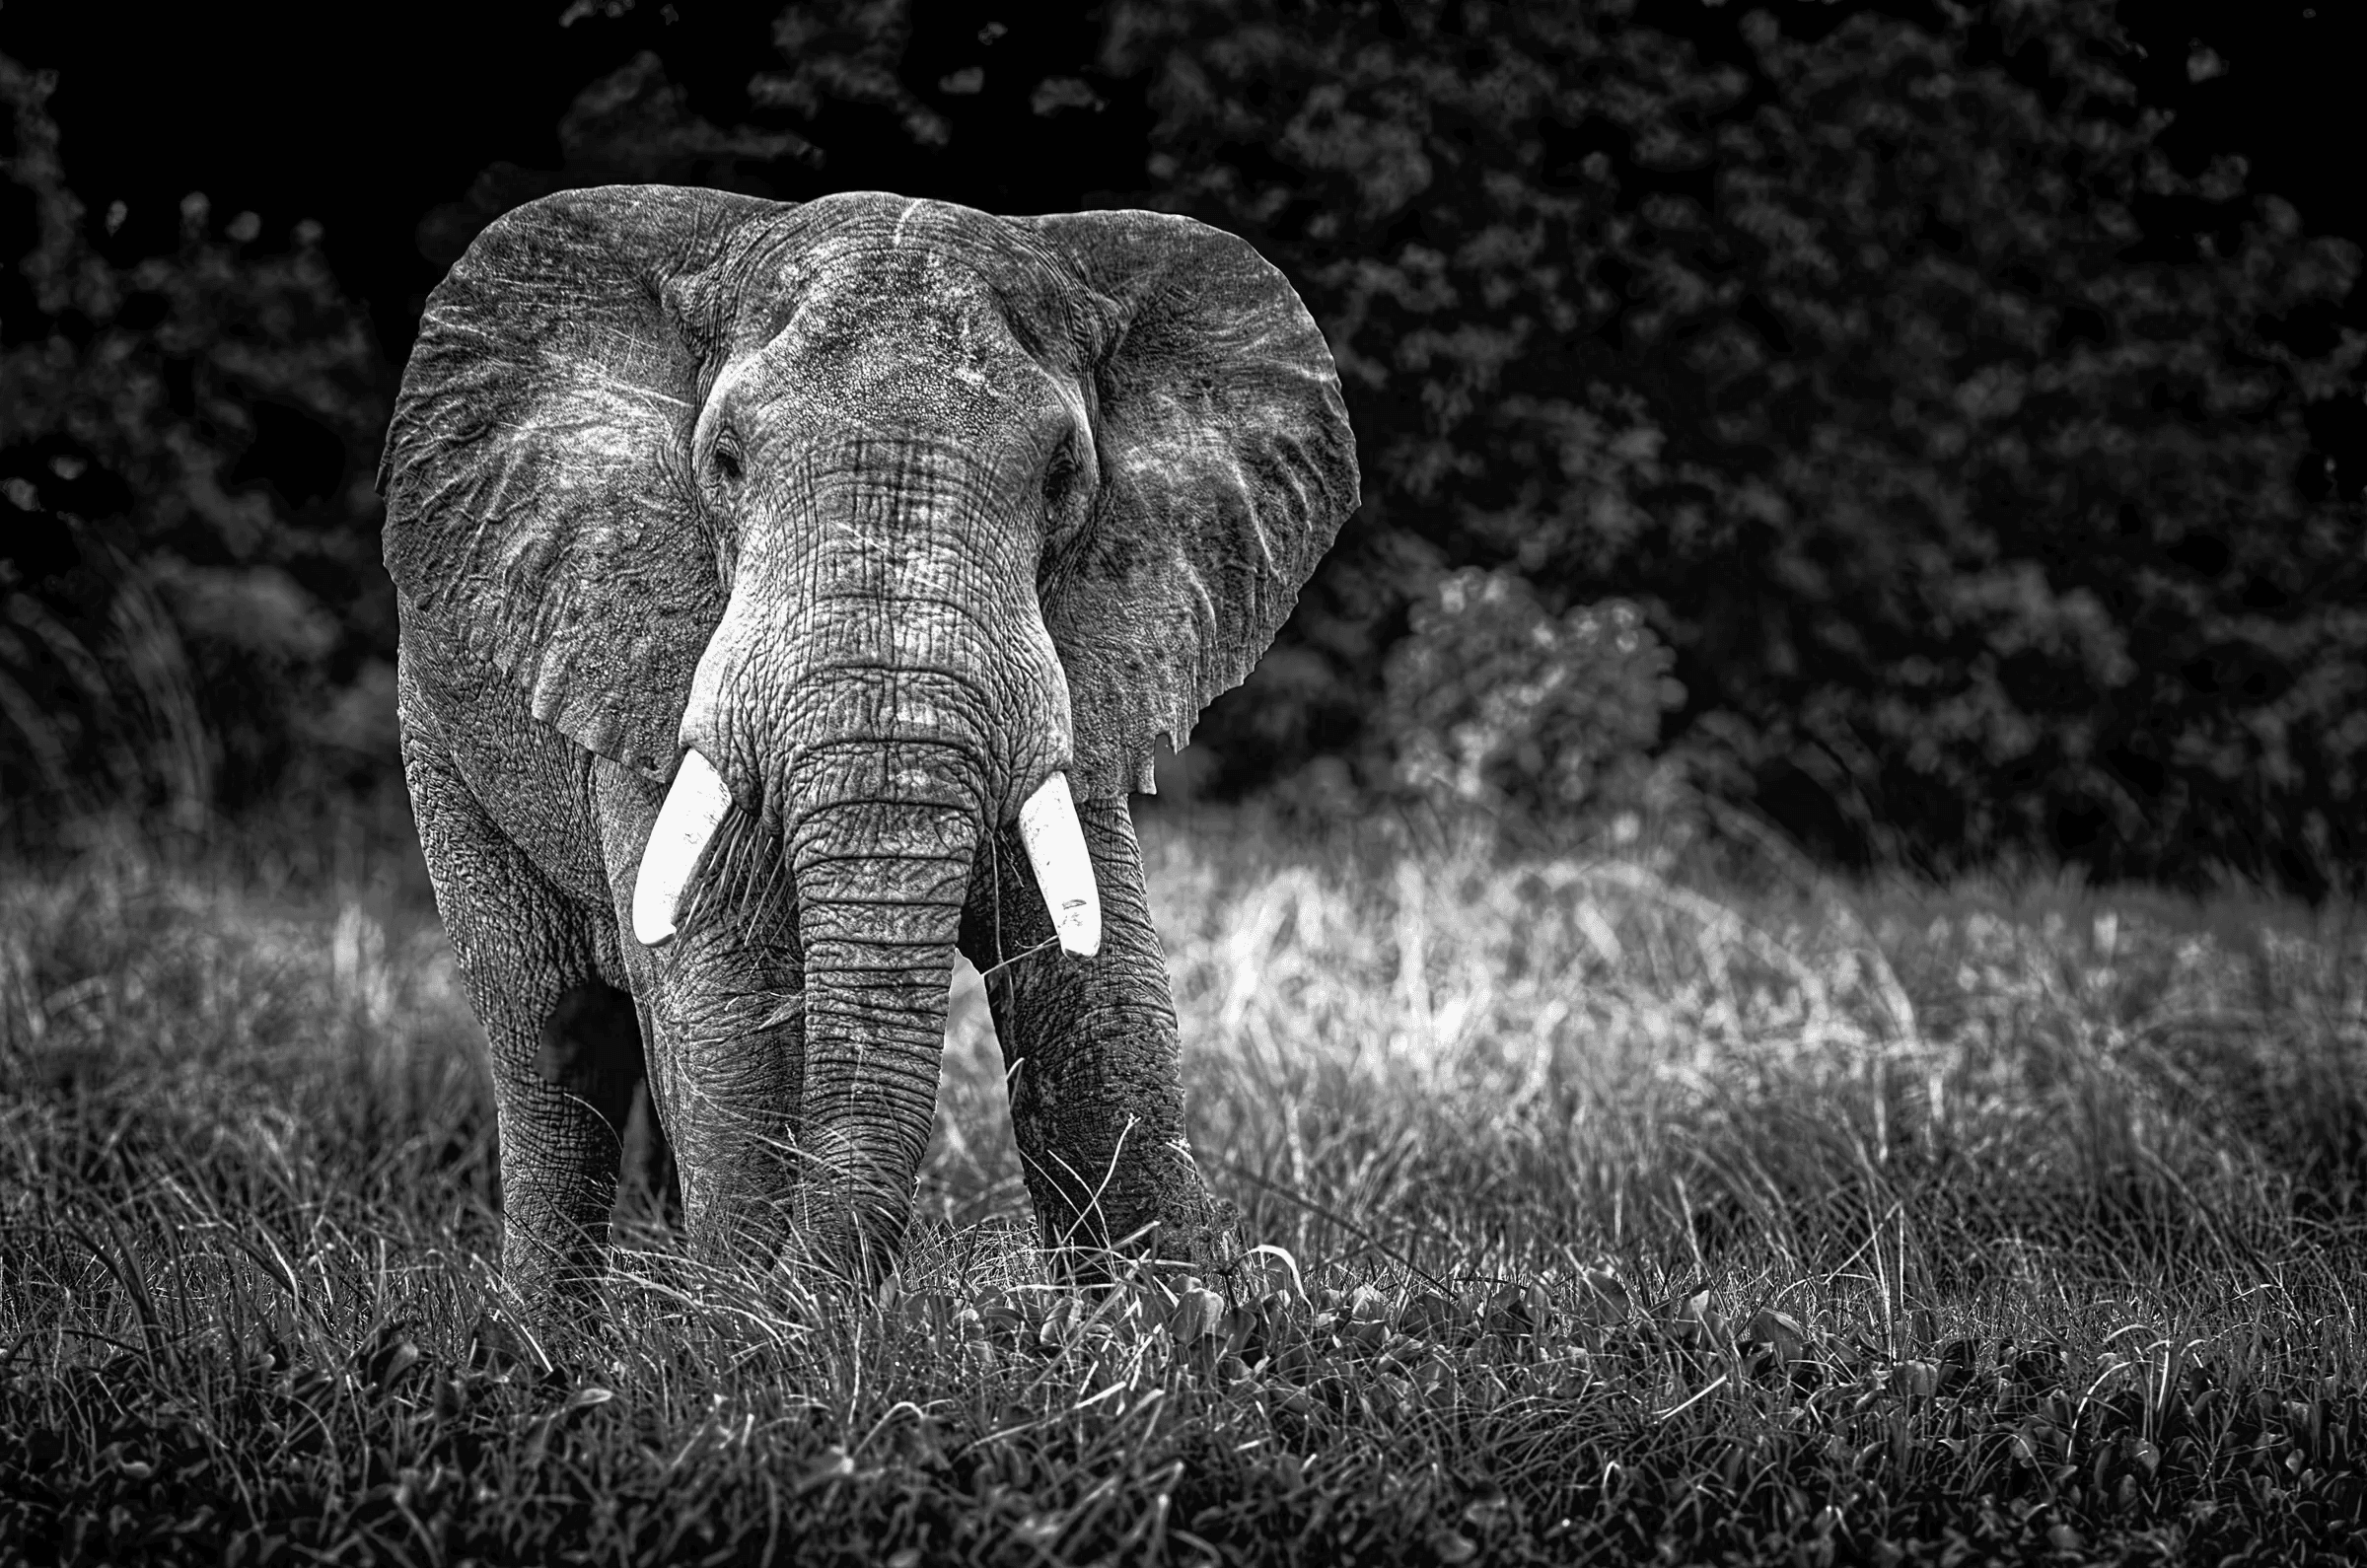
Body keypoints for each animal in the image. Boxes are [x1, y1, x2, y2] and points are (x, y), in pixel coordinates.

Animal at [378, 185, 1358, 1315]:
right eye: (724, 462)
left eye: (1063, 475)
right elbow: (724, 1001)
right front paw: (753, 1333)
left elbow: (1100, 997)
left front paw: (1188, 1317)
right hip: (437, 741)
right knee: (548, 1037)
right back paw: (550, 1334)